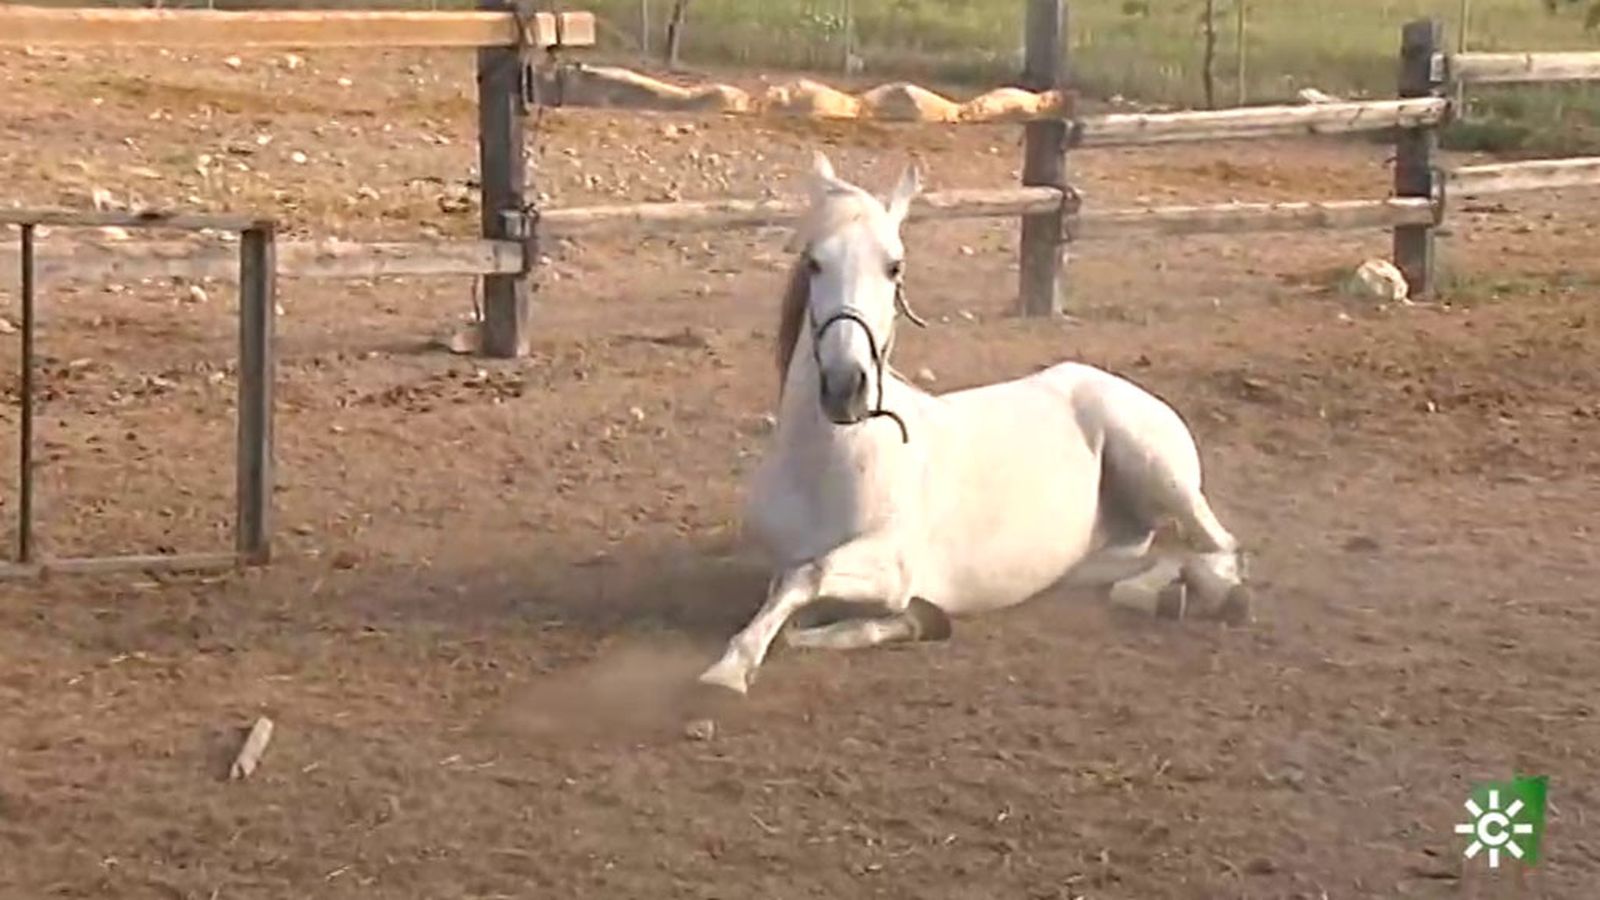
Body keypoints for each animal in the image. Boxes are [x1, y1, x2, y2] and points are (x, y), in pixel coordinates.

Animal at [696, 151, 1252, 696]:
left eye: (894, 267)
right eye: (814, 263)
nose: (844, 386)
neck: (829, 465)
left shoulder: (891, 564)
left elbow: (807, 577)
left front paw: (729, 669)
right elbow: (794, 610)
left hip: (1161, 471)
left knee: (1220, 547)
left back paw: (1219, 595)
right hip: (1089, 561)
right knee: (1155, 563)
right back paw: (1161, 596)